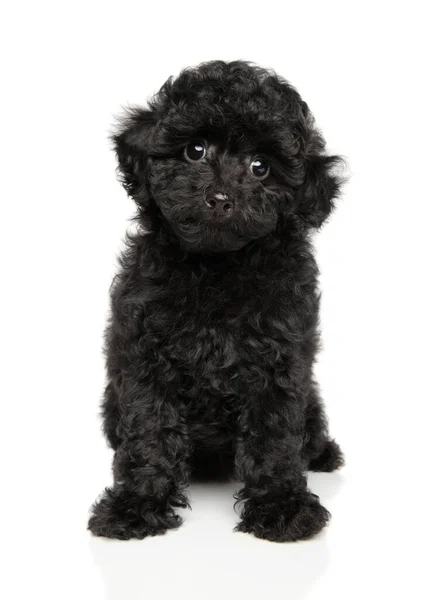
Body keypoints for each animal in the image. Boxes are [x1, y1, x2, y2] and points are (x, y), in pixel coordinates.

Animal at [87, 61, 344, 544]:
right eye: (195, 150)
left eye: (261, 167)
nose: (221, 198)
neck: (217, 267)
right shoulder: (145, 357)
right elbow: (150, 432)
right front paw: (138, 504)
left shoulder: (278, 359)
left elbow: (274, 437)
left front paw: (281, 506)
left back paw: (323, 453)